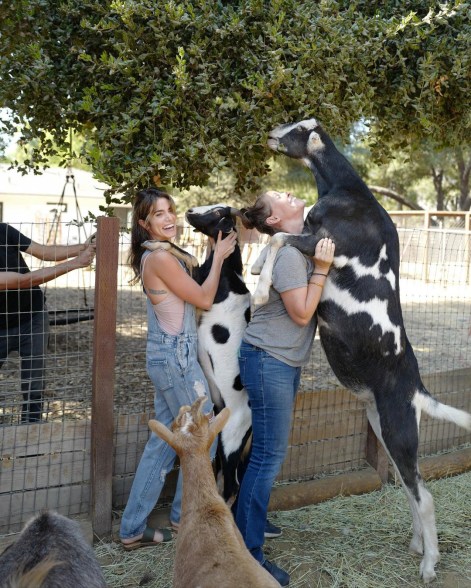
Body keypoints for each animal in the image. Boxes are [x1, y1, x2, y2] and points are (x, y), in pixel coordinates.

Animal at [253, 119, 471, 584]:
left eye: (298, 127)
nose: (271, 133)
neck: (349, 191)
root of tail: (416, 389)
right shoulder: (310, 237)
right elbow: (275, 239)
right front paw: (259, 266)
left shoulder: (322, 240)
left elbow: (279, 237)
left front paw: (261, 290)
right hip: (386, 428)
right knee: (410, 487)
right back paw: (416, 546)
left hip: (398, 431)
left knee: (424, 495)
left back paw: (429, 564)